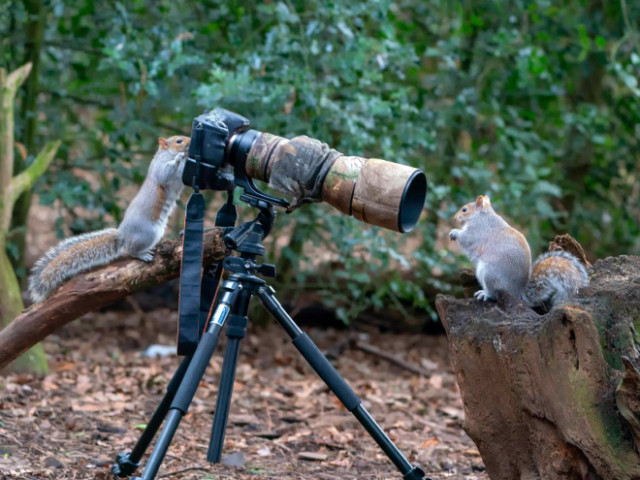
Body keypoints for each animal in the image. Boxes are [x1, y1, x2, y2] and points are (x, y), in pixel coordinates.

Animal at [28, 135, 189, 302]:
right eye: (178, 141)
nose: (189, 141)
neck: (166, 154)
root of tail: (123, 234)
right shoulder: (160, 168)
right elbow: (165, 174)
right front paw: (180, 157)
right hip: (149, 233)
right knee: (131, 250)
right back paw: (142, 254)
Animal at [448, 195, 588, 308]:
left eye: (464, 209)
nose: (453, 218)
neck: (482, 215)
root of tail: (517, 293)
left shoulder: (476, 230)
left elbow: (466, 239)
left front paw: (454, 232)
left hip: (489, 272)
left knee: (494, 293)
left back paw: (485, 294)